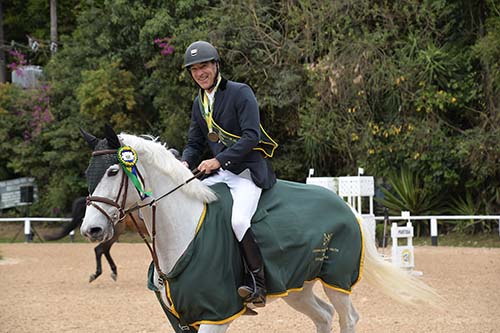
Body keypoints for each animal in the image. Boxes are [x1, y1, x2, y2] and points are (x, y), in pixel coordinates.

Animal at [79, 125, 442, 332]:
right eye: (87, 172)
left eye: (113, 171)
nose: (91, 230)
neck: (182, 232)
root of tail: (343, 204)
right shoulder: (182, 320)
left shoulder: (216, 315)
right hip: (297, 286)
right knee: (323, 317)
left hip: (338, 280)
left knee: (346, 318)